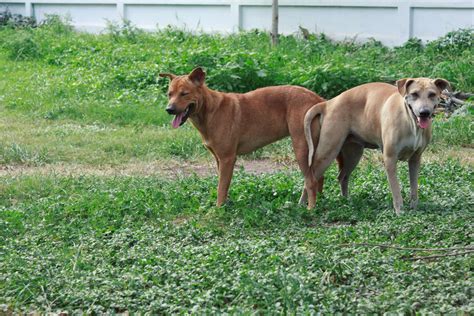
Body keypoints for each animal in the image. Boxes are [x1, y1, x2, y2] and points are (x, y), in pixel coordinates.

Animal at [161, 67, 328, 206]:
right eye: (169, 94)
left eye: (184, 93)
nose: (169, 109)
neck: (209, 110)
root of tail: (319, 100)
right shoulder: (219, 159)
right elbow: (223, 186)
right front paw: (225, 204)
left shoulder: (228, 159)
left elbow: (221, 188)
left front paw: (218, 210)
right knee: (319, 177)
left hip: (301, 149)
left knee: (311, 181)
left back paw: (310, 209)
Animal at [304, 78, 448, 214]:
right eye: (414, 94)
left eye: (432, 94)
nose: (424, 112)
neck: (410, 122)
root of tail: (329, 103)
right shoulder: (390, 159)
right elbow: (396, 189)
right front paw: (399, 210)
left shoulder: (415, 159)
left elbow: (414, 187)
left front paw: (414, 207)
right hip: (327, 152)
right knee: (310, 178)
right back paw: (306, 207)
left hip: (353, 155)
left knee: (342, 176)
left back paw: (346, 201)